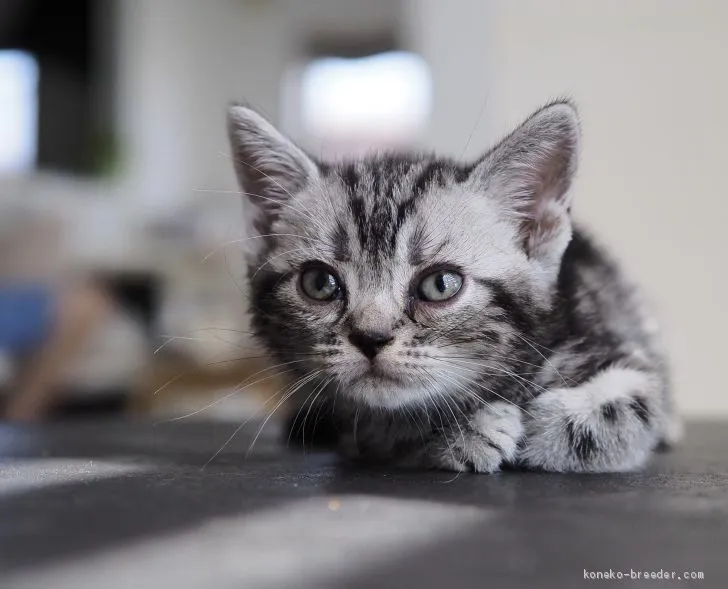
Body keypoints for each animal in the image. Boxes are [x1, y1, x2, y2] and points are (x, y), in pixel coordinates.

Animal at [229, 99, 684, 470]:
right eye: (320, 283)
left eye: (440, 284)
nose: (370, 338)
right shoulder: (355, 426)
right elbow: (377, 425)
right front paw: (457, 432)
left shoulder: (615, 336)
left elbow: (636, 403)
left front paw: (546, 429)